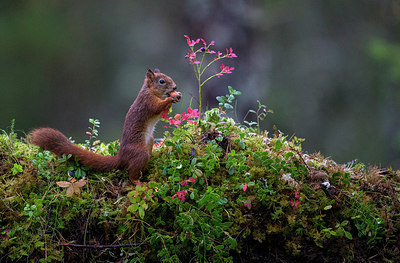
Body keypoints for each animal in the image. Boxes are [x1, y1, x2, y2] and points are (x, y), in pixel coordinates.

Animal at [31, 69, 181, 185]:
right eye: (161, 81)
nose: (175, 87)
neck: (150, 91)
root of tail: (121, 156)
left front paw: (176, 96)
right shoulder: (147, 102)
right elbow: (157, 107)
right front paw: (171, 98)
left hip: (149, 142)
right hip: (140, 152)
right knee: (131, 174)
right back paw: (137, 181)